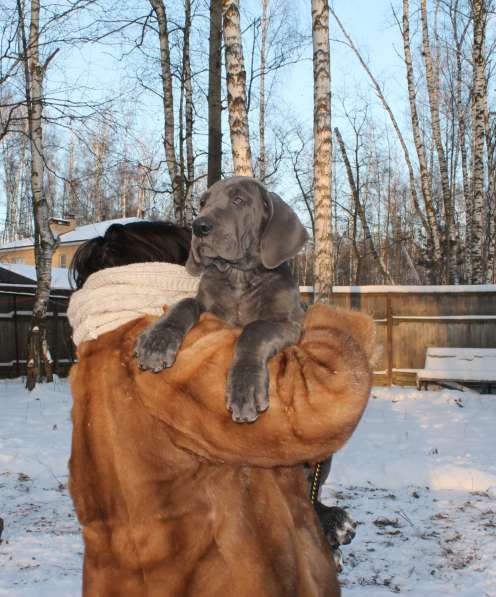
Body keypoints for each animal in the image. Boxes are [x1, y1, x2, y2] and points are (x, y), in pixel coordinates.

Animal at [134, 175, 308, 422]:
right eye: (202, 203)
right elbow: (184, 303)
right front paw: (157, 341)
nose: (199, 227)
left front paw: (245, 387)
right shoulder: (206, 305)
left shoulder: (289, 323)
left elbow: (254, 329)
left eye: (238, 200)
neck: (238, 276)